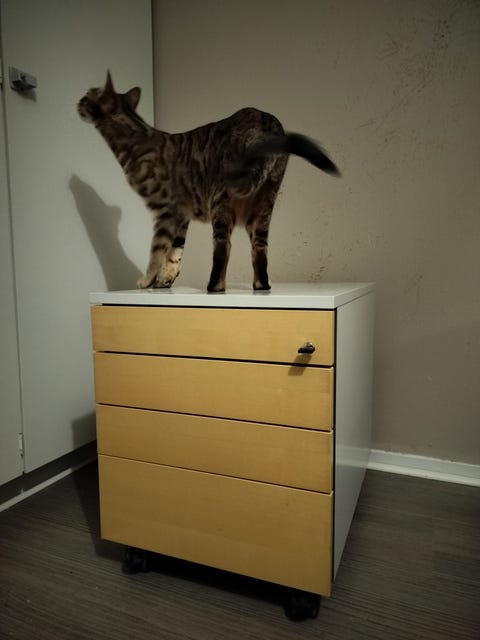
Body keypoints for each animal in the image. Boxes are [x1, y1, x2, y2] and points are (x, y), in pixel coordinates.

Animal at [78, 72, 339, 292]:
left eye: (87, 94)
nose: (77, 102)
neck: (134, 136)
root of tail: (267, 121)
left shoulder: (166, 211)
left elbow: (157, 250)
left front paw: (147, 280)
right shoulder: (180, 216)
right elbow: (175, 252)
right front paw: (164, 280)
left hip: (221, 202)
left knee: (224, 248)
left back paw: (214, 286)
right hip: (264, 204)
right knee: (260, 248)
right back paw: (261, 285)